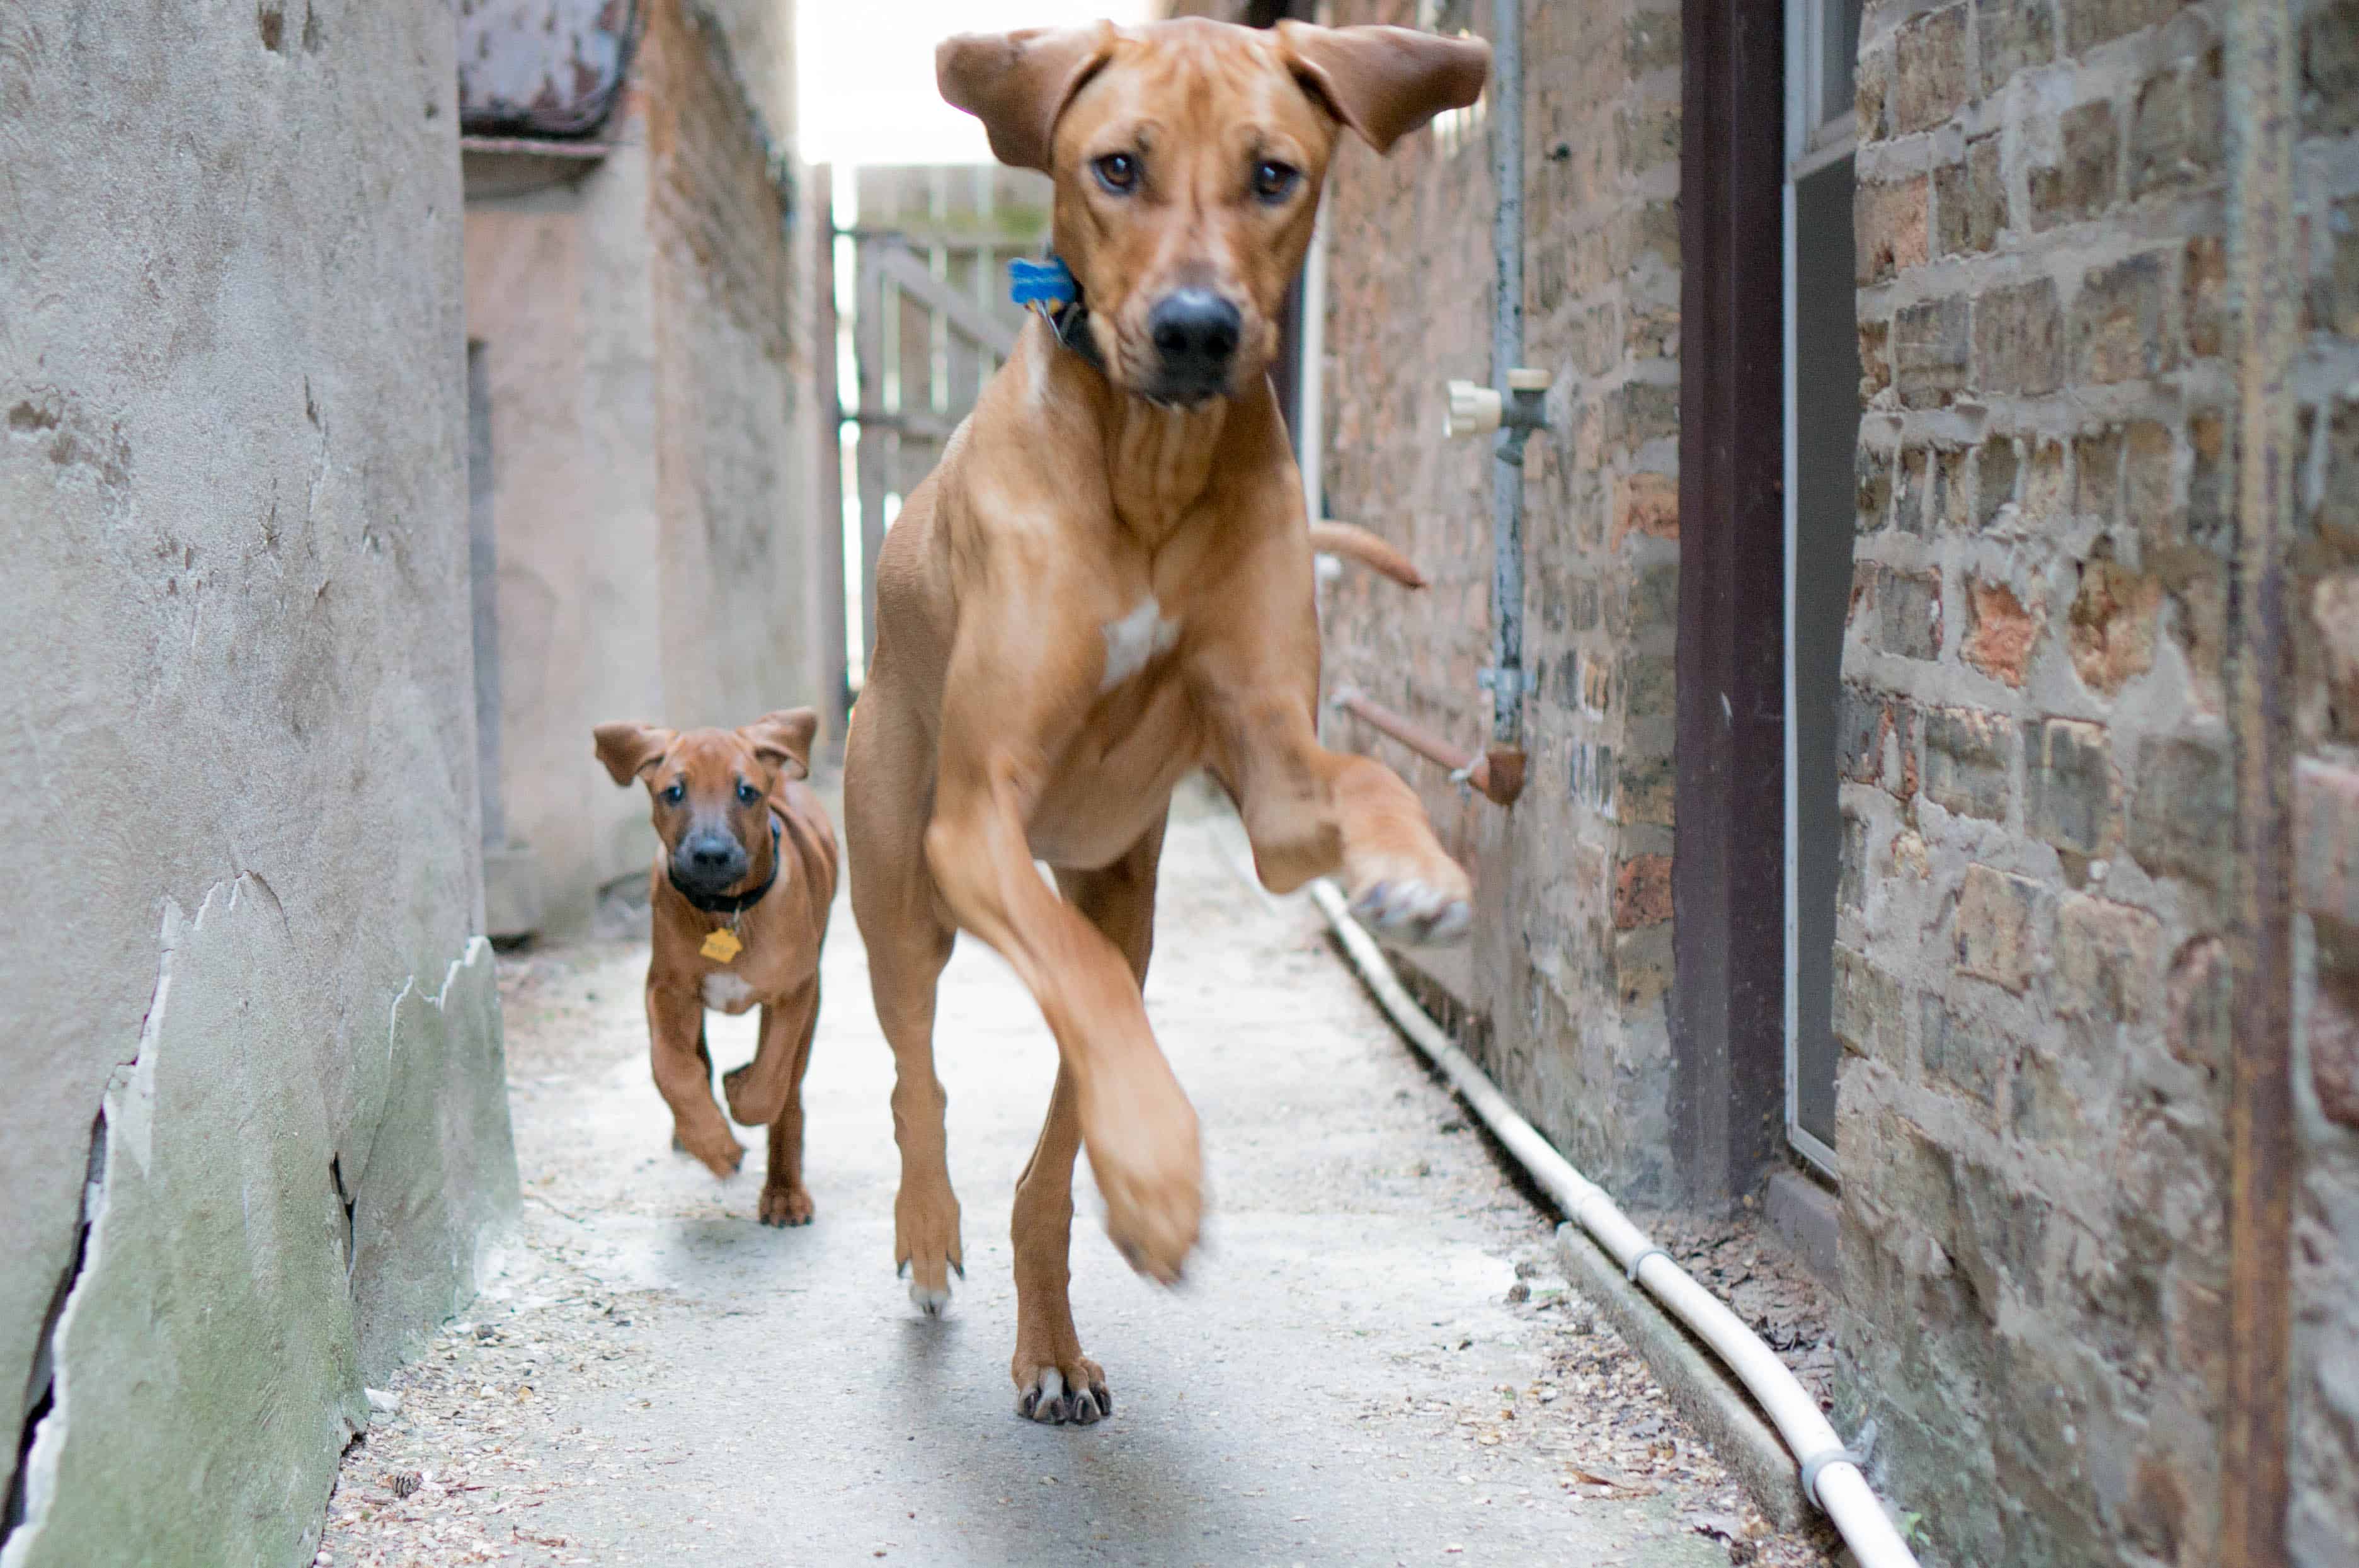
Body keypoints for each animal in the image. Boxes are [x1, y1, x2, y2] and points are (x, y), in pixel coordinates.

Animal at [599, 707, 840, 1226]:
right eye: (674, 792)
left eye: (746, 792)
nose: (710, 855)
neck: (726, 911)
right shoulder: (665, 989)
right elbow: (672, 1069)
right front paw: (712, 1142)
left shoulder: (796, 991)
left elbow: (771, 1080)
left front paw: (741, 1089)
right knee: (697, 1059)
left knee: (790, 1088)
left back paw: (784, 1192)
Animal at [840, 15, 1481, 1433]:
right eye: (1117, 167)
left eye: (1275, 174)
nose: (1197, 330)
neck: (1150, 461)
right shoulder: (978, 818)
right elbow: (1033, 1007)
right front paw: (1161, 1170)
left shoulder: (1276, 781)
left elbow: (1365, 775)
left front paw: (1415, 868)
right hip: (905, 886)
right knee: (921, 1069)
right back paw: (931, 1232)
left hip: (1121, 898)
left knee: (1068, 1094)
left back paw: (1055, 1330)